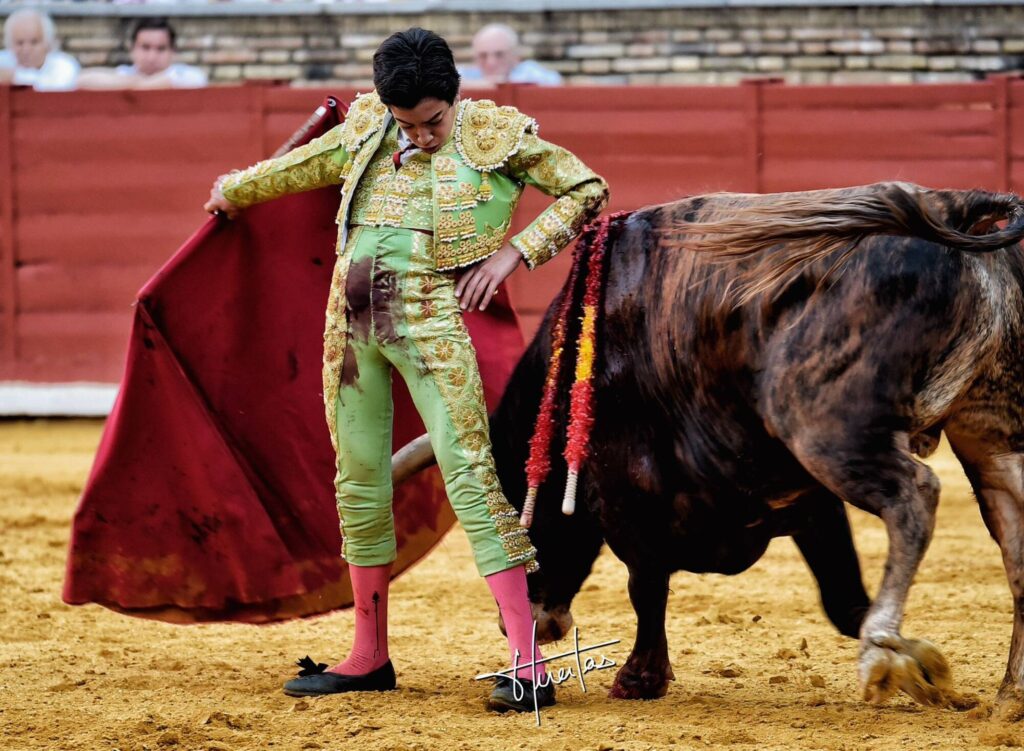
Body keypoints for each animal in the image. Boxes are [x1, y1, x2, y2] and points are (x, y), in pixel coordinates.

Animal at [394, 181, 1024, 716]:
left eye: (517, 512)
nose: (523, 626)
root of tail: (950, 208)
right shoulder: (808, 501)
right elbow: (842, 599)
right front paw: (922, 665)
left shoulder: (627, 502)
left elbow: (645, 587)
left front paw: (639, 678)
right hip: (989, 435)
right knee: (1014, 543)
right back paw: (1008, 696)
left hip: (824, 427)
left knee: (914, 496)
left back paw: (883, 650)